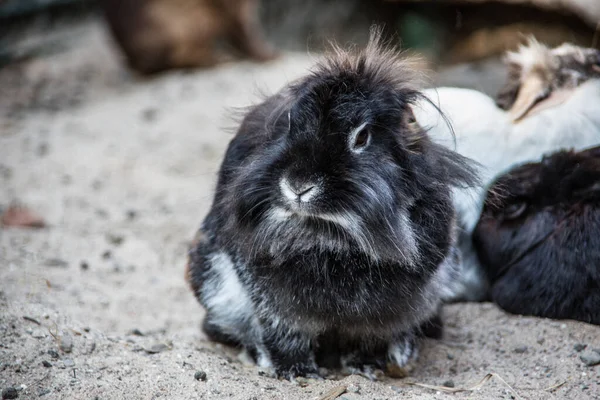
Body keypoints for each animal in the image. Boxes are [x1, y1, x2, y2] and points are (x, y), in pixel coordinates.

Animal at [188, 30, 478, 378]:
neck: (326, 237)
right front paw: (295, 372)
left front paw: (366, 367)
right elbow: (283, 335)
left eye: (362, 137)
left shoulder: (381, 316)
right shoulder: (270, 301)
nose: (299, 186)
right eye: (289, 125)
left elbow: (369, 339)